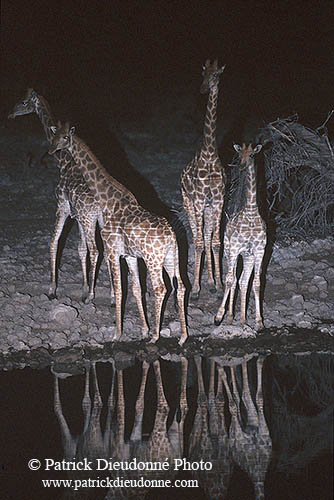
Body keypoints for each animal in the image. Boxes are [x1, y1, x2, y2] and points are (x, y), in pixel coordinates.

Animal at [8, 88, 102, 302]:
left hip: (89, 219)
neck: (63, 162)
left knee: (96, 250)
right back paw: (108, 298)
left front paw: (52, 290)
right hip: (98, 221)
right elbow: (80, 248)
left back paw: (92, 296)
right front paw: (83, 288)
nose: (11, 113)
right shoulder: (77, 216)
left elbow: (54, 242)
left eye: (24, 102)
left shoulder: (62, 207)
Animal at [48, 123, 188, 346]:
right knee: (181, 286)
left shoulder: (113, 251)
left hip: (153, 260)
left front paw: (117, 333)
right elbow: (136, 289)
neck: (109, 200)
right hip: (171, 258)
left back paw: (156, 337)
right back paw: (182, 336)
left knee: (160, 288)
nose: (51, 150)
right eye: (54, 135)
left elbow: (120, 288)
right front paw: (143, 330)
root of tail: (170, 237)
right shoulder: (130, 255)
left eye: (64, 138)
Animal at [215, 144, 268, 332]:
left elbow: (257, 283)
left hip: (248, 257)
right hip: (230, 252)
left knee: (243, 281)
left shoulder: (259, 251)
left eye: (252, 155)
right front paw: (219, 317)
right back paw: (230, 318)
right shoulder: (236, 249)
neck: (251, 211)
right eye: (239, 155)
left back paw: (243, 320)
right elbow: (230, 280)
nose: (242, 167)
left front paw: (259, 322)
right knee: (233, 279)